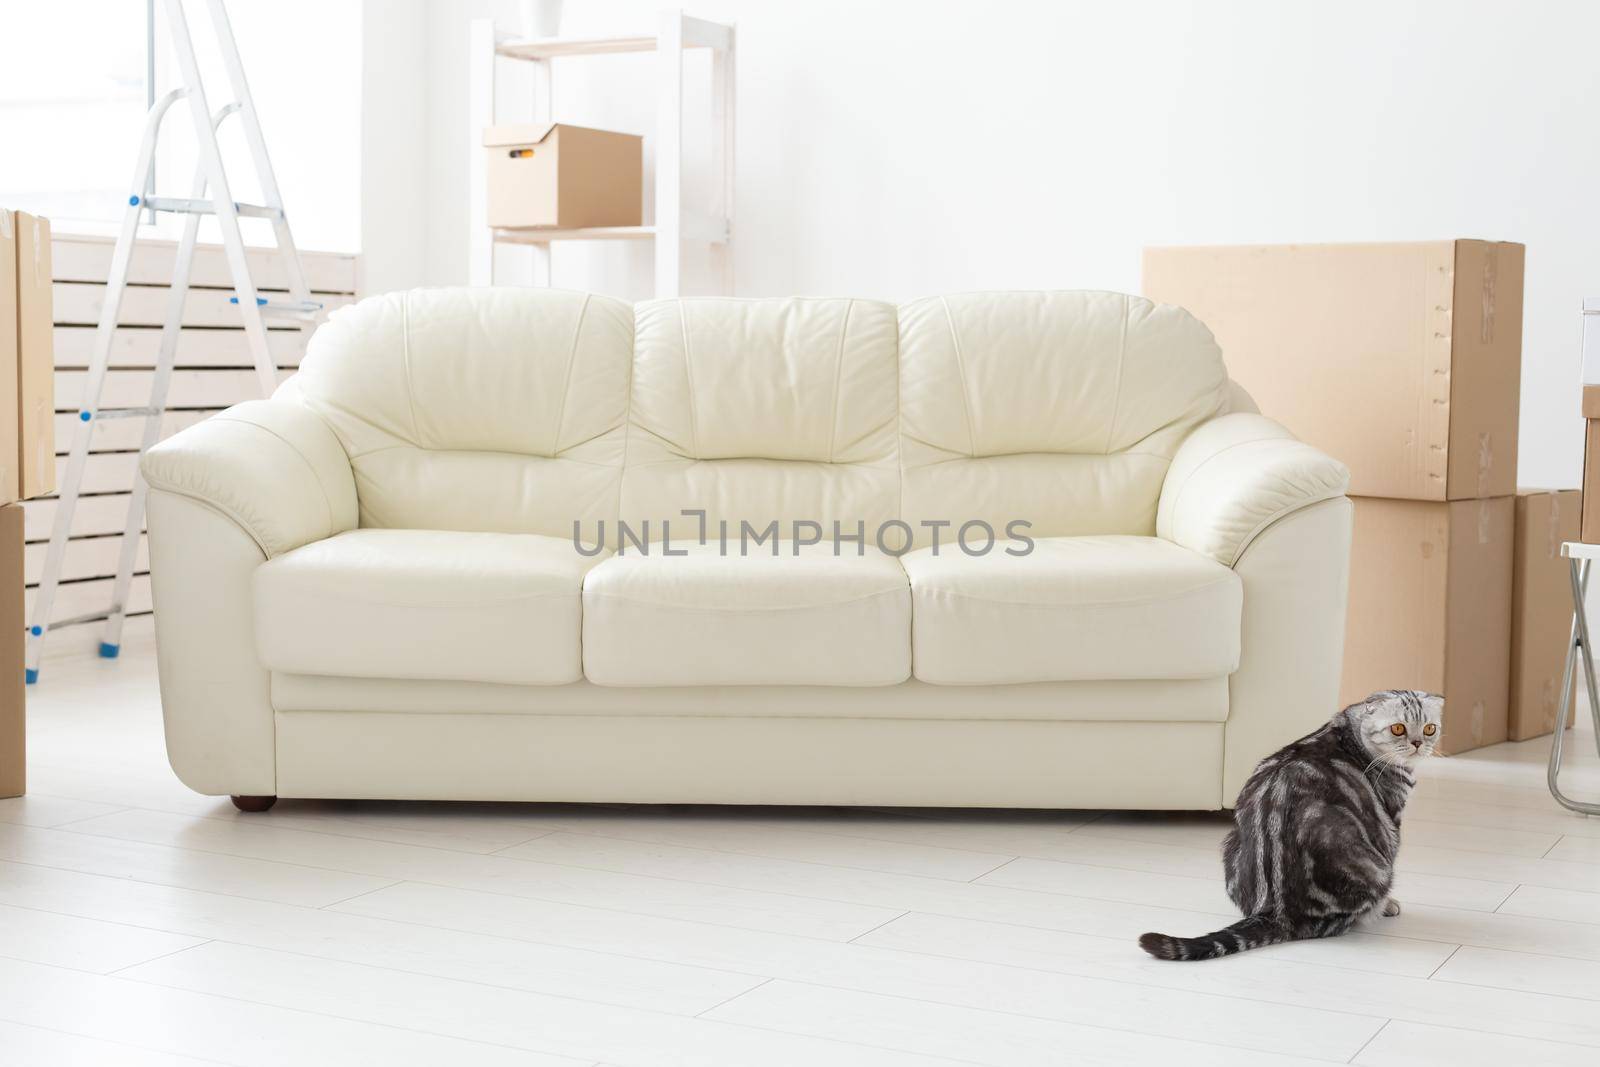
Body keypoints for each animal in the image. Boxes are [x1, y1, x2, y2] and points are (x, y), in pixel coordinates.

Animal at [1132, 687, 1446, 966]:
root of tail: (1278, 912)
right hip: (1374, 867)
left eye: (1429, 729)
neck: (1352, 732)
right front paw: (1390, 904)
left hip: (1230, 842)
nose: (1418, 743)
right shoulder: (1391, 822)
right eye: (1398, 729)